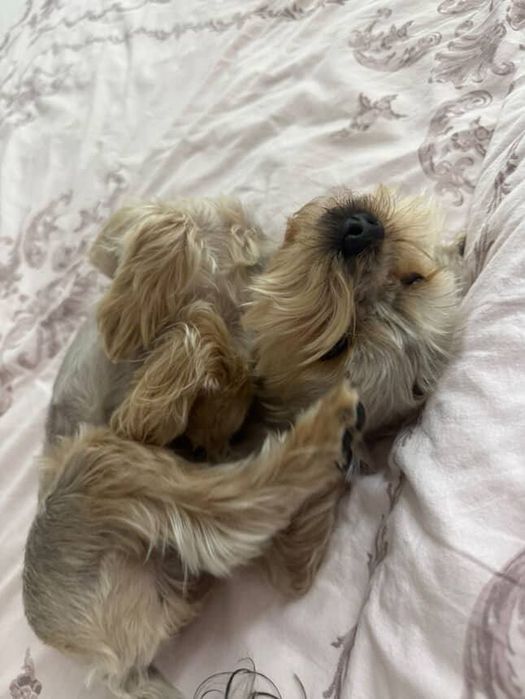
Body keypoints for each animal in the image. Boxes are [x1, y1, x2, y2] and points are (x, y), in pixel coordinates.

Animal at [23, 186, 465, 699]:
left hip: (97, 471)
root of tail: (115, 667)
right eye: (414, 277)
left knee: (244, 499)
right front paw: (136, 318)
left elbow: (174, 376)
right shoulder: (126, 242)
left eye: (337, 346)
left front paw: (138, 345)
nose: (360, 229)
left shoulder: (143, 428)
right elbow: (169, 224)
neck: (249, 296)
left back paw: (327, 432)